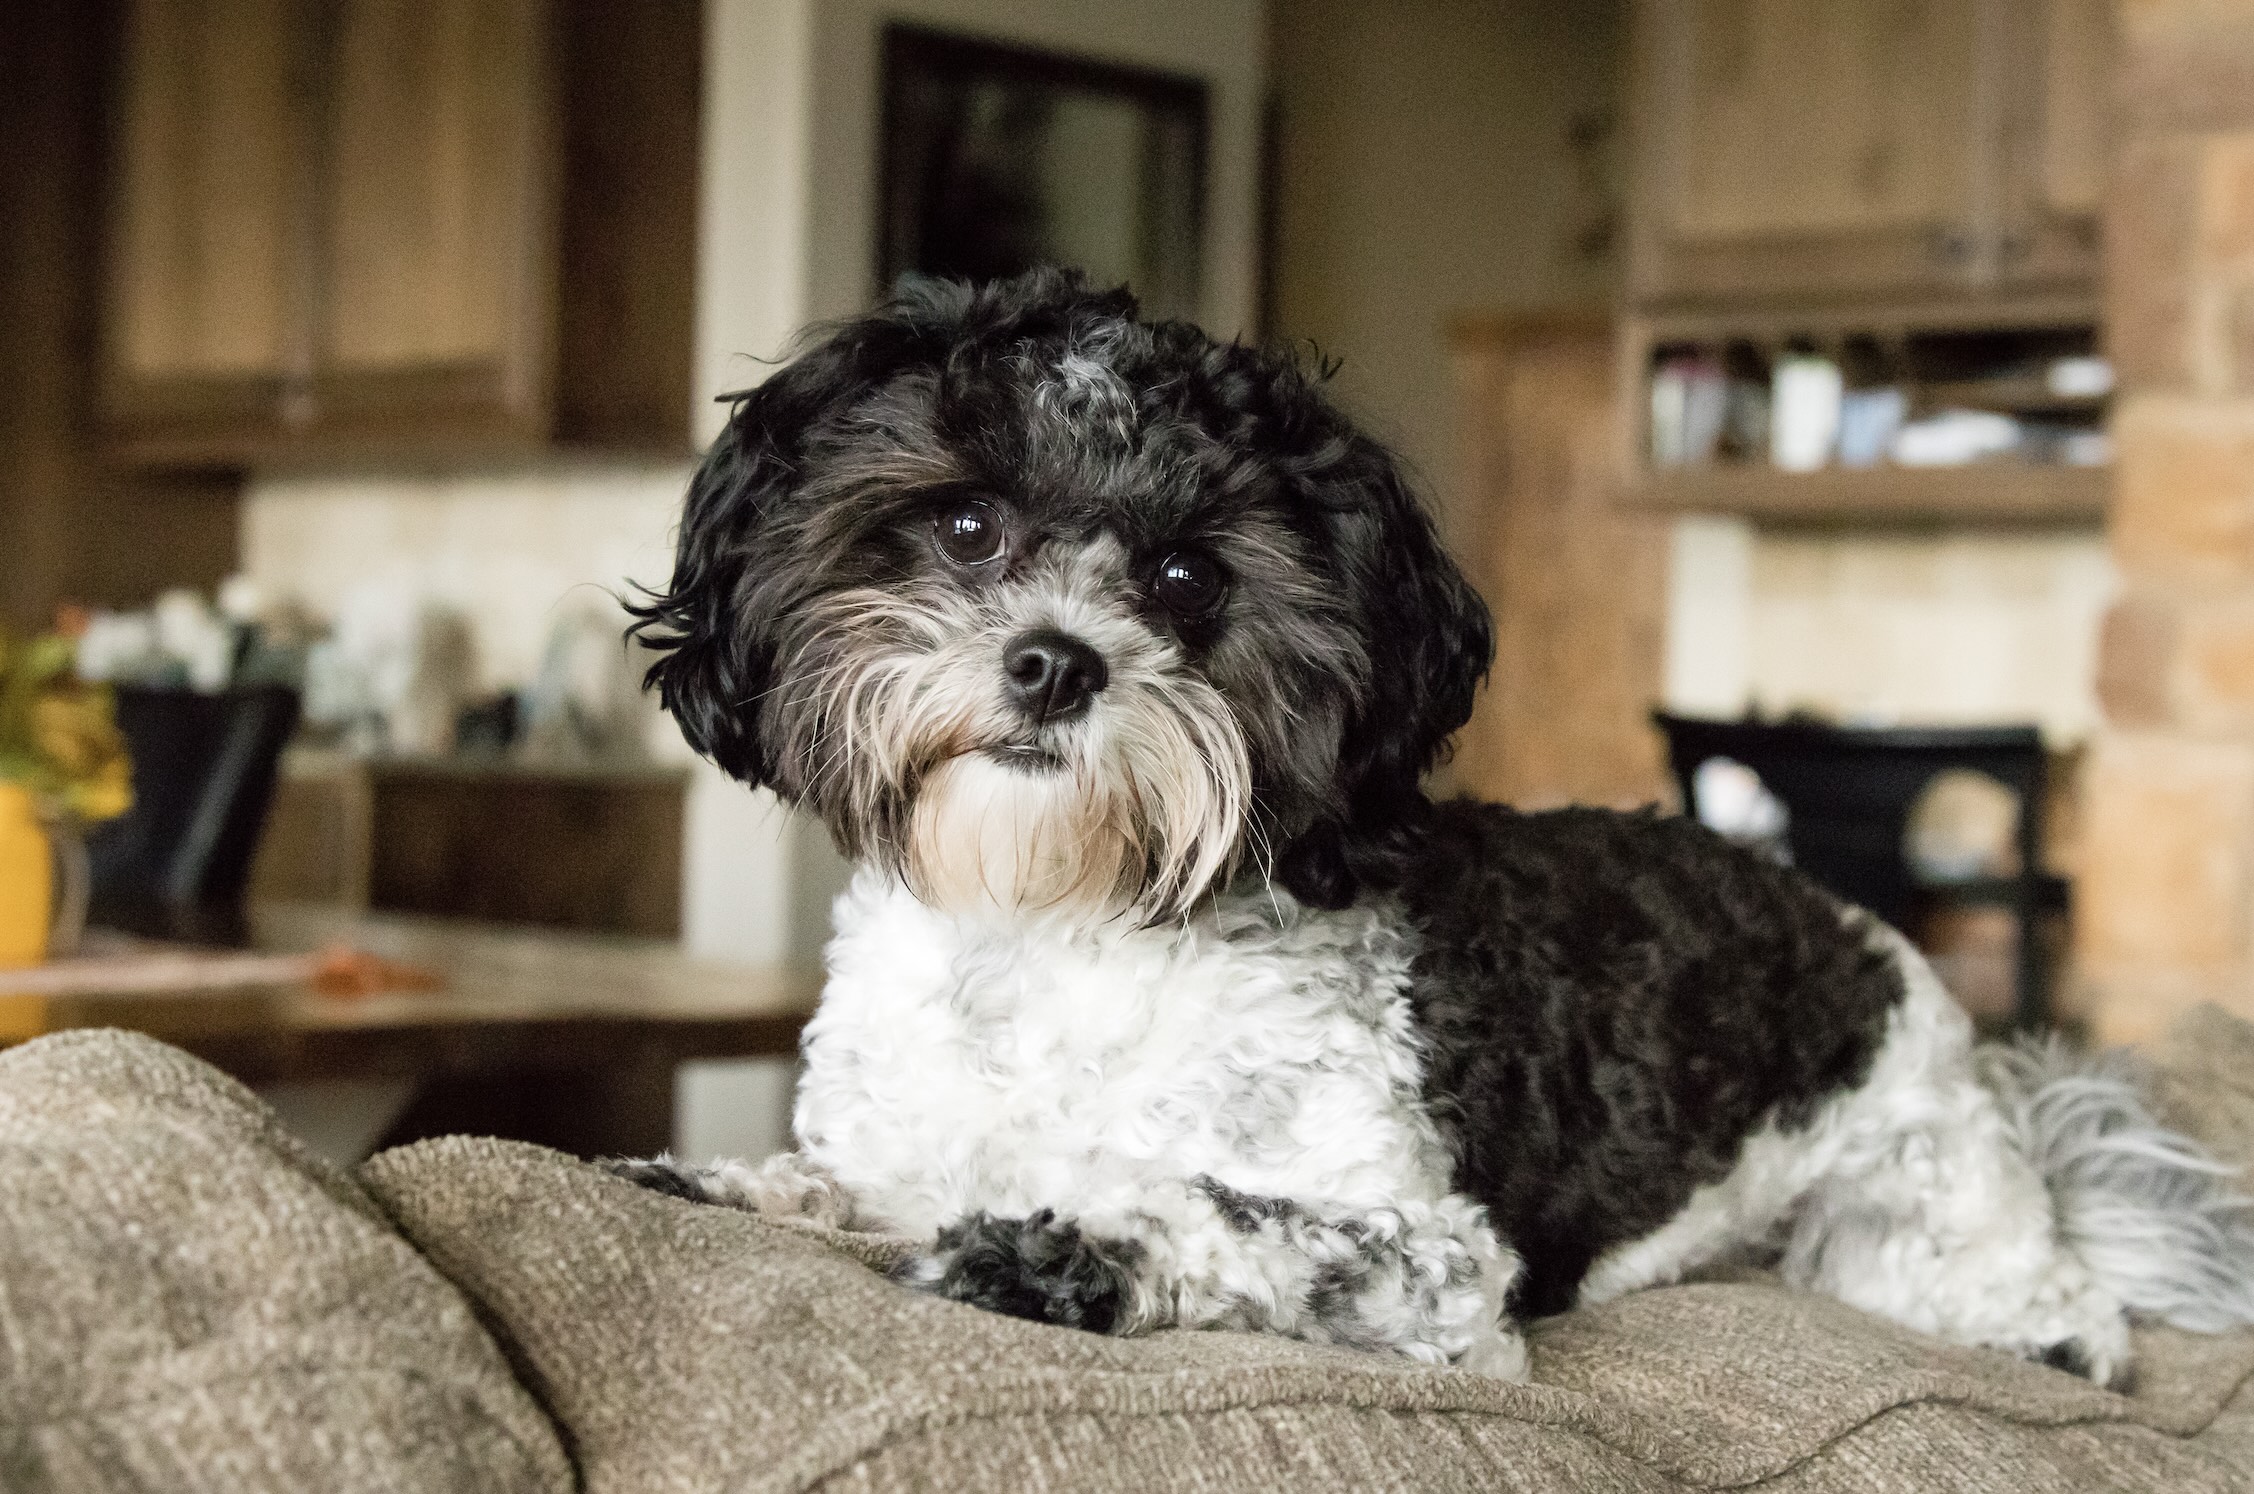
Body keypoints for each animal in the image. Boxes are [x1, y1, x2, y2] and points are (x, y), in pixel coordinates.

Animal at [613, 271, 2254, 1388]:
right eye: (964, 526)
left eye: (1190, 576)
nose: (1055, 662)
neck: (1052, 928)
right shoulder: (897, 1141)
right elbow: (826, 1186)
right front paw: (714, 1179)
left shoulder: (1435, 1258)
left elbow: (1228, 1219)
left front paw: (1065, 1248)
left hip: (1910, 1248)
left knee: (2063, 1316)